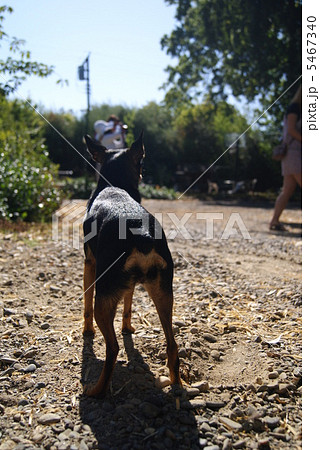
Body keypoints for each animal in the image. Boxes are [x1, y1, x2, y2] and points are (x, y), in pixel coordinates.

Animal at [82, 134, 180, 398]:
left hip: (104, 298)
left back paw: (96, 391)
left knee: (113, 349)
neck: (116, 185)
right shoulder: (130, 285)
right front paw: (127, 327)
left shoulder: (89, 264)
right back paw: (177, 384)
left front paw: (87, 332)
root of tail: (142, 235)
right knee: (172, 345)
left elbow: (86, 302)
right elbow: (128, 304)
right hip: (164, 294)